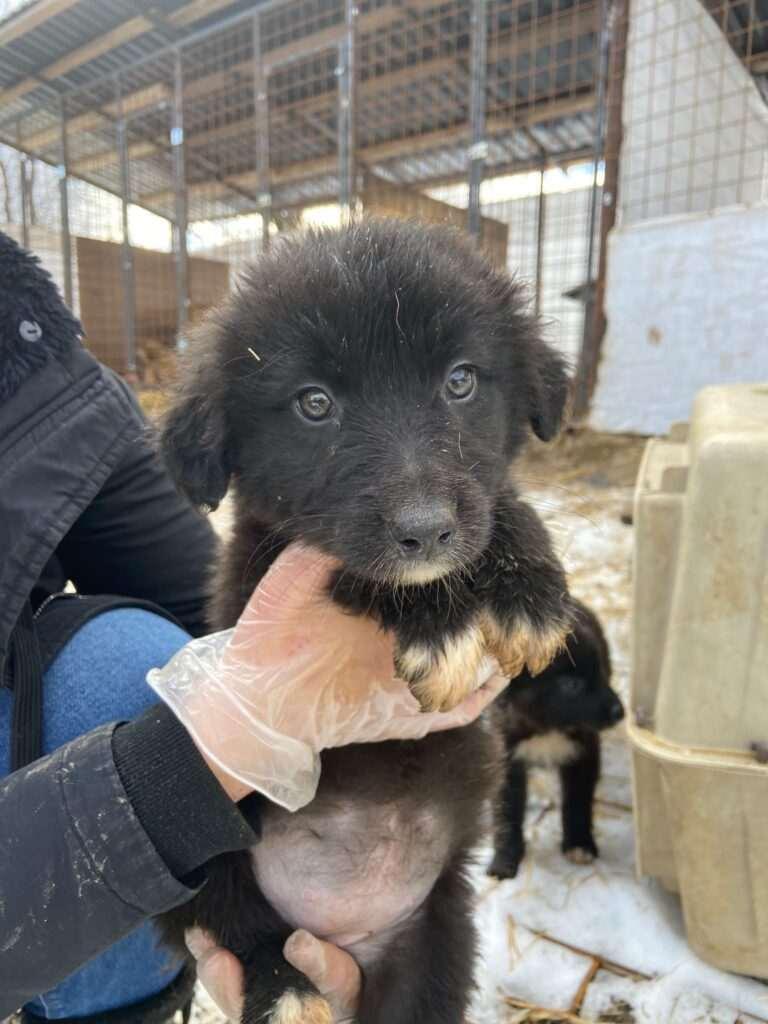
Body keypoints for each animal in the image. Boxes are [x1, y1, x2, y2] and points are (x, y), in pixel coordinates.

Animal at [159, 219, 573, 1024]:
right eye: (314, 403)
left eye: (460, 380)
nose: (425, 530)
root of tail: (347, 927)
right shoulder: (252, 573)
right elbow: (346, 559)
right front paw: (439, 625)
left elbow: (500, 500)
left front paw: (530, 589)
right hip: (197, 854)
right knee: (241, 924)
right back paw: (286, 990)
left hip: (437, 933)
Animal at [488, 598, 625, 880]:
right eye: (572, 685)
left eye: (601, 672)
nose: (620, 712)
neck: (548, 728)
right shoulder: (506, 755)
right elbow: (506, 811)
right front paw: (505, 859)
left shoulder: (584, 752)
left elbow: (578, 802)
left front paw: (580, 844)